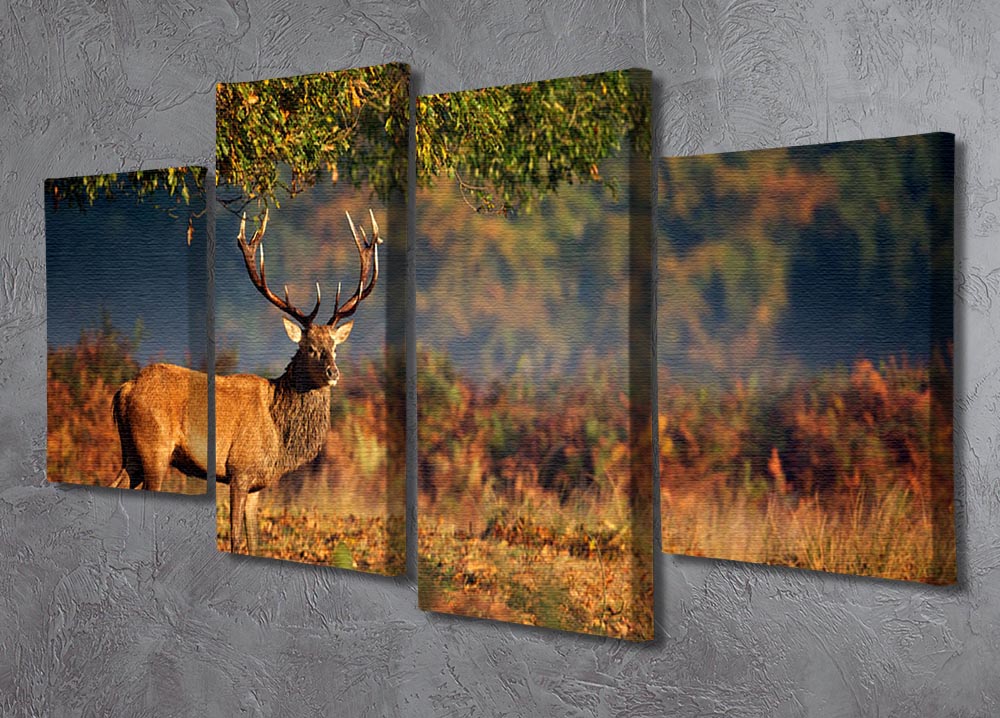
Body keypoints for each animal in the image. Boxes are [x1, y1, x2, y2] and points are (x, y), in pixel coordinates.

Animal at [110, 208, 382, 555]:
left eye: (334, 347)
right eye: (308, 347)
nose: (334, 372)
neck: (279, 438)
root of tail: (124, 389)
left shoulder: (257, 483)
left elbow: (255, 541)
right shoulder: (238, 471)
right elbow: (236, 539)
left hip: (130, 451)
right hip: (154, 448)